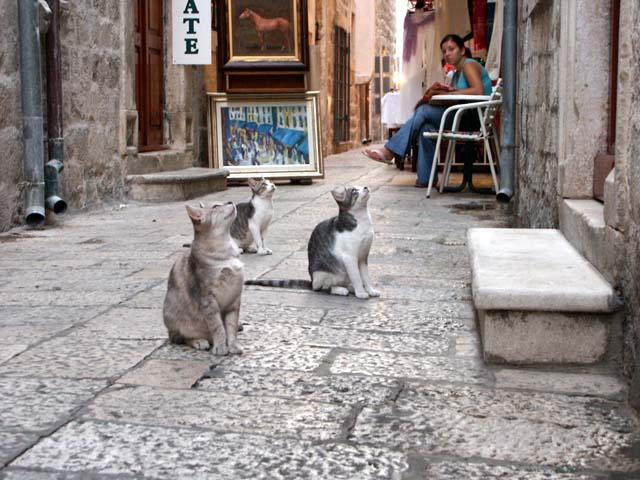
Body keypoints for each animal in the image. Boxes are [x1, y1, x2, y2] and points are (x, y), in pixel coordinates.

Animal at [164, 201, 244, 354]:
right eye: (216, 206)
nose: (230, 201)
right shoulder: (208, 300)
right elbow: (218, 327)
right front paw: (221, 346)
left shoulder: (234, 299)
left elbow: (231, 327)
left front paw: (232, 346)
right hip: (179, 324)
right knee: (181, 339)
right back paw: (199, 341)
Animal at [242, 186, 378, 298]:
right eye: (354, 191)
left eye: (360, 186)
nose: (365, 187)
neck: (362, 220)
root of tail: (311, 280)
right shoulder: (349, 257)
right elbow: (357, 277)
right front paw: (361, 293)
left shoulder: (363, 257)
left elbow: (365, 277)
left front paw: (370, 290)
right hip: (323, 272)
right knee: (322, 288)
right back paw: (340, 290)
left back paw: (350, 288)